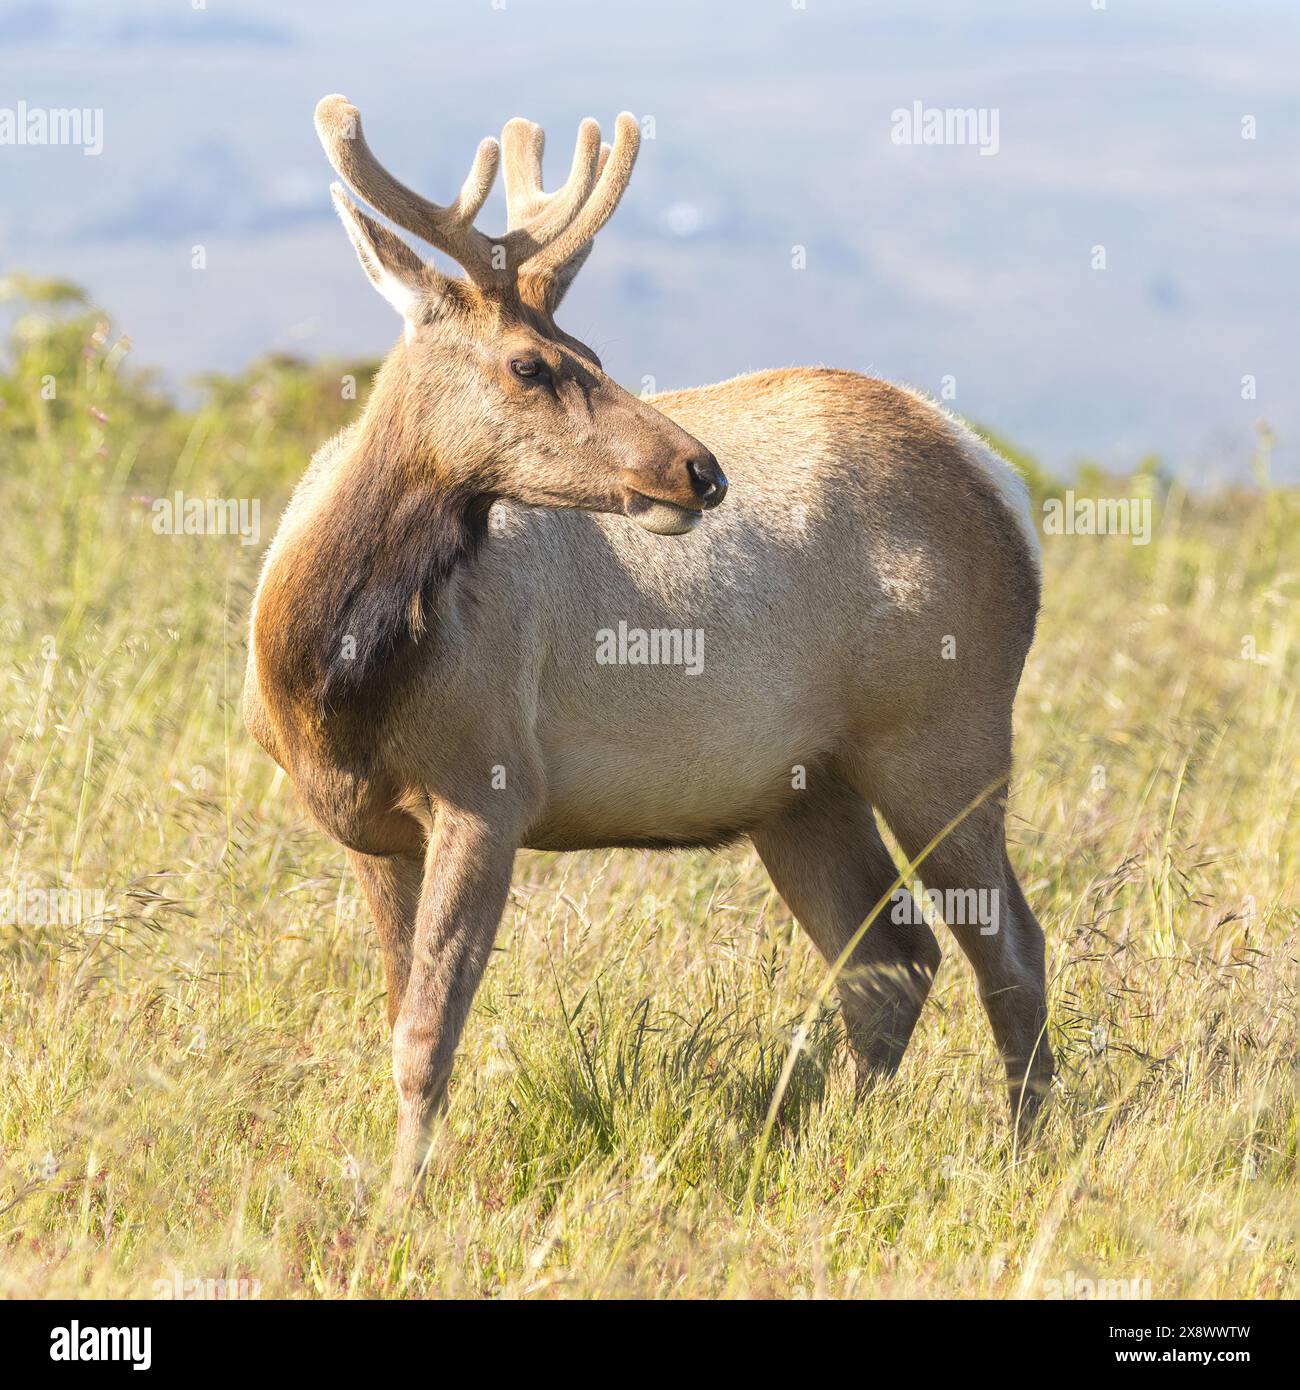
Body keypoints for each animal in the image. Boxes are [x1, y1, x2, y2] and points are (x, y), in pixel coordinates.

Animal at [244, 97, 1056, 1184]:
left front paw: (402, 1196)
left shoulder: (491, 784)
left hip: (942, 732)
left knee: (1007, 946)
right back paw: (813, 1140)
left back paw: (1026, 1149)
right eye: (534, 362)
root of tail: (1002, 487)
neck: (323, 678)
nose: (699, 470)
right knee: (890, 959)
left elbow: (426, 1032)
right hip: (801, 791)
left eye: (590, 348)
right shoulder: (366, 828)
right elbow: (398, 1017)